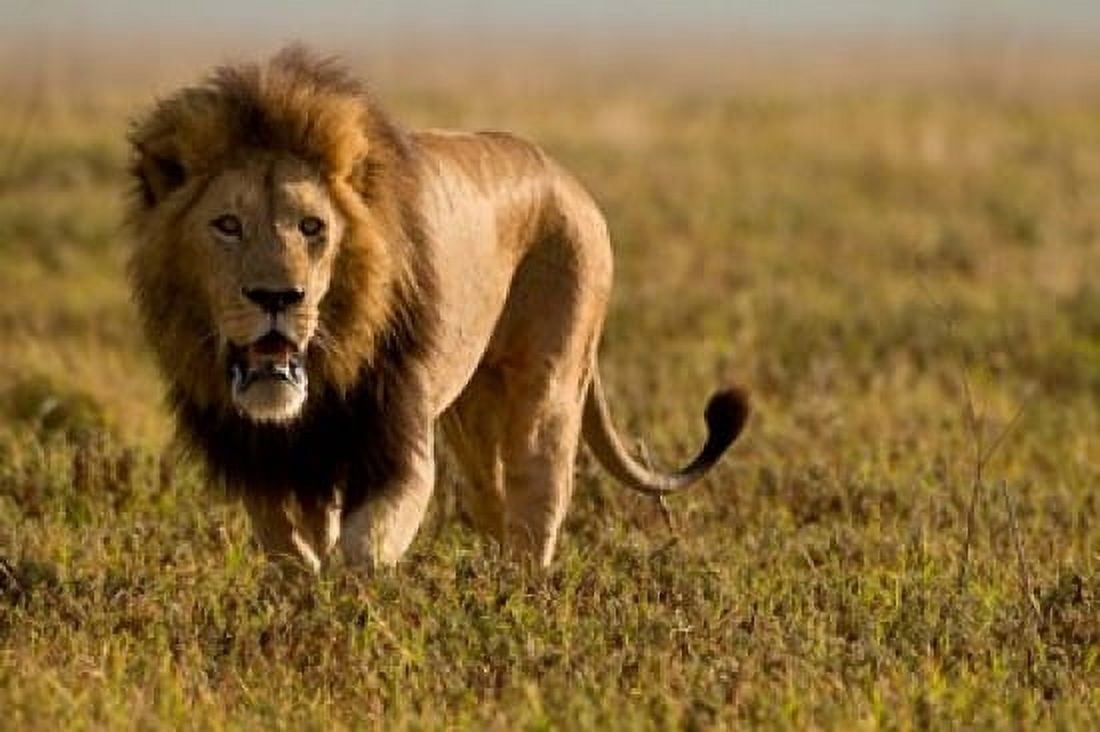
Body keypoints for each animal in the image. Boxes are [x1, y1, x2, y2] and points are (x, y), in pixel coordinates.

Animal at [126, 47, 748, 571]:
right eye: (228, 225)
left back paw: (526, 603)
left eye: (312, 227)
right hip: (471, 418)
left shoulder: (399, 449)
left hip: (546, 388)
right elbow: (294, 554)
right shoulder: (271, 463)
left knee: (537, 503)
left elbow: (362, 548)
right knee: (495, 506)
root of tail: (566, 178)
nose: (278, 297)